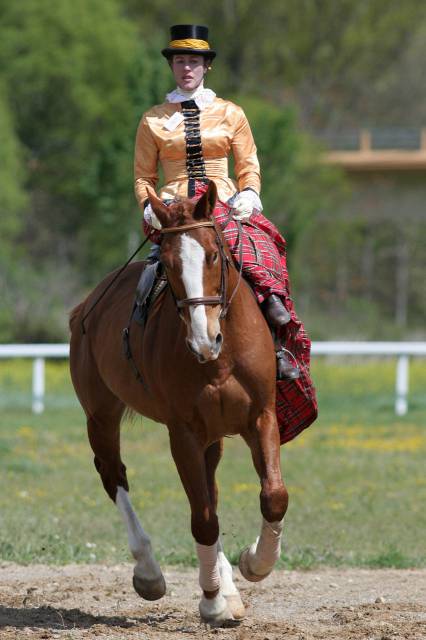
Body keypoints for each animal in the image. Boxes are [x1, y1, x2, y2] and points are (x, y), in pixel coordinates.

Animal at [70, 180, 288, 624]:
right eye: (168, 264)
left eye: (213, 254)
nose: (204, 340)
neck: (220, 358)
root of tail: (85, 307)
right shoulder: (183, 433)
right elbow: (203, 520)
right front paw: (211, 601)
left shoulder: (261, 418)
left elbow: (273, 496)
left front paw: (253, 563)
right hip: (100, 416)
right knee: (113, 475)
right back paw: (150, 573)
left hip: (212, 437)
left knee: (211, 491)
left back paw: (229, 588)